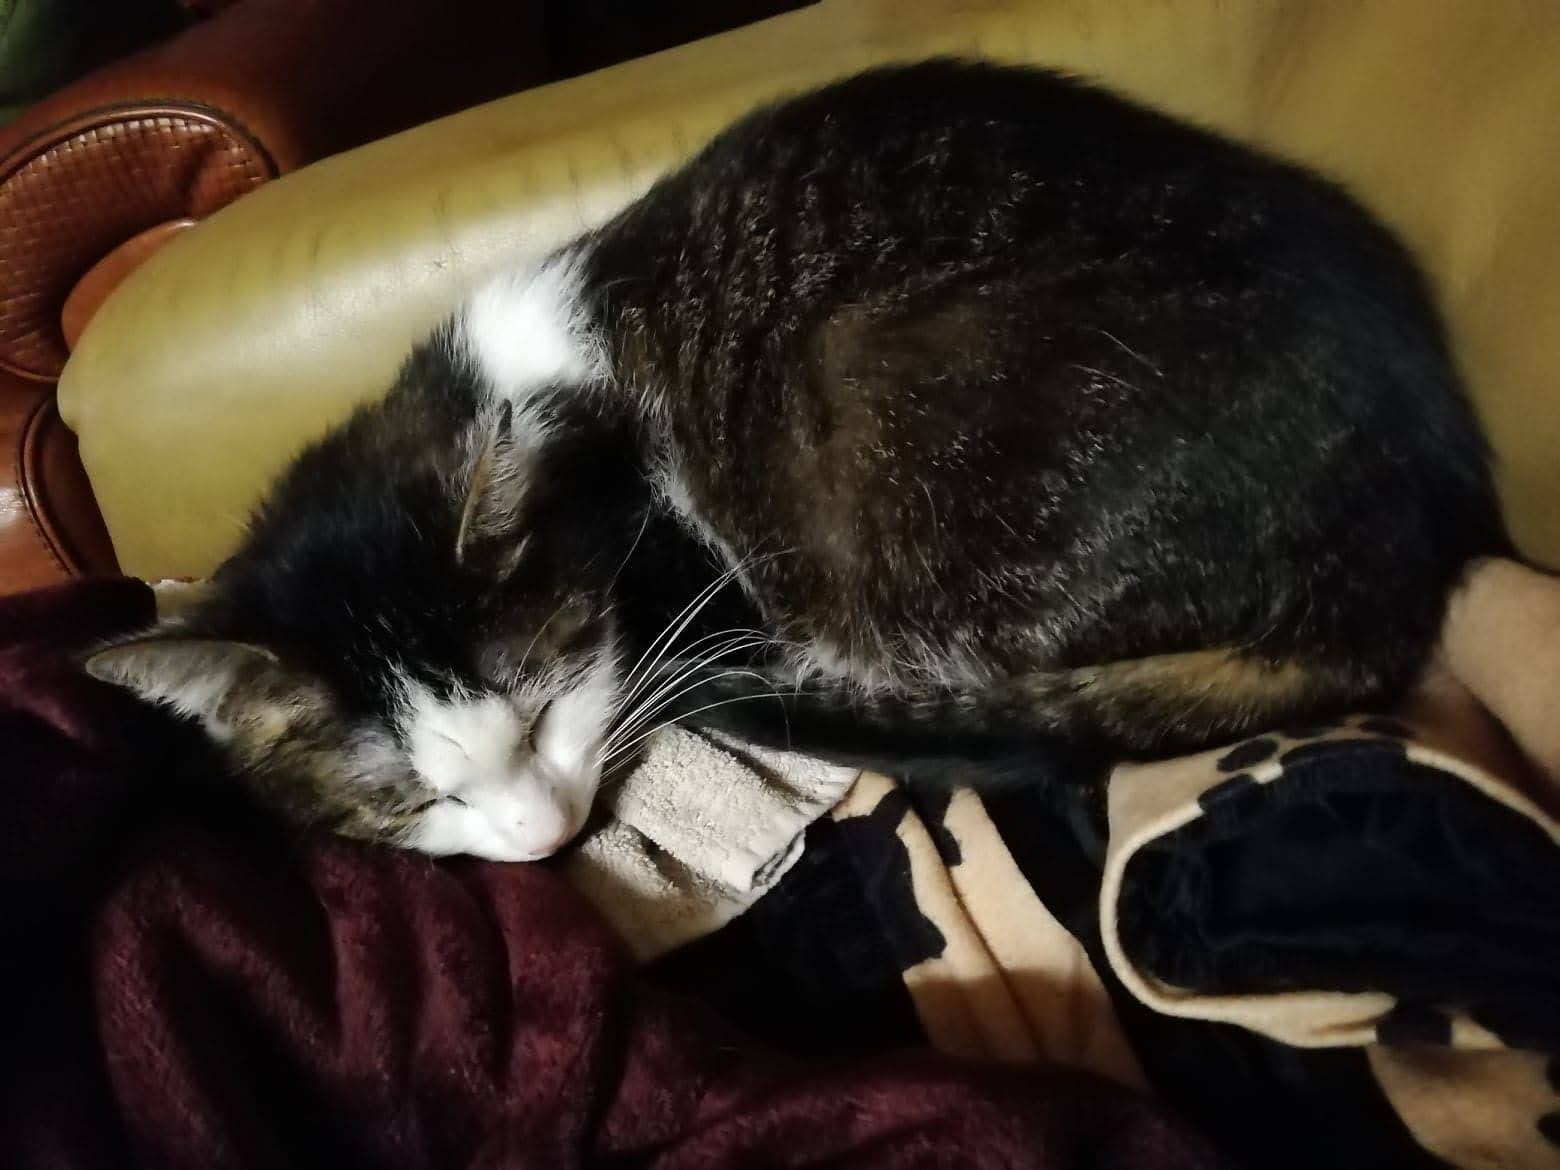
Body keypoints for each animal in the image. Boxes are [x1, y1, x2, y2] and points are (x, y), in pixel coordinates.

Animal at [86, 60, 1504, 862]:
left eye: (539, 713)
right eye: (410, 800)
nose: (547, 840)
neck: (488, 398)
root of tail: (1404, 557)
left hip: (892, 414)